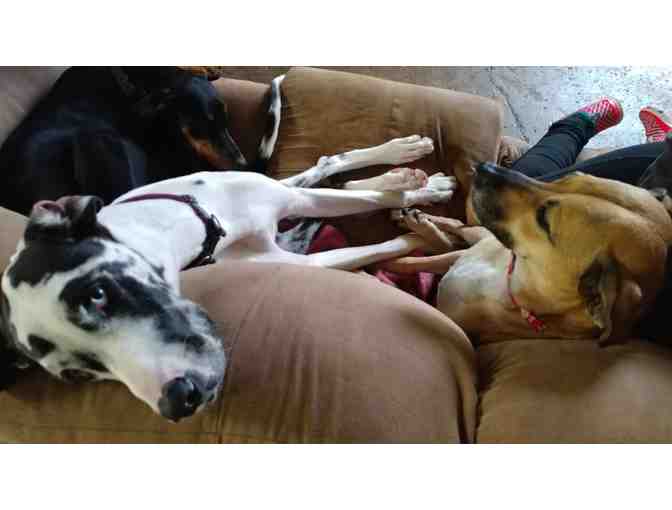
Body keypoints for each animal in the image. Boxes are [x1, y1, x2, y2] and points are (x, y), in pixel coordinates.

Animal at [0, 134, 456, 421]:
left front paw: (423, 199)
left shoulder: (294, 200)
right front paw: (422, 235)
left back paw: (403, 163)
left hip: (287, 191)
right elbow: (372, 245)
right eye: (78, 374)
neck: (203, 225)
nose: (177, 401)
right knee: (331, 178)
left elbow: (368, 197)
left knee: (329, 168)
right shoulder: (298, 260)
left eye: (97, 294)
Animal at [384, 161, 672, 343]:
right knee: (455, 229)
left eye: (544, 219)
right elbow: (412, 262)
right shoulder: (460, 258)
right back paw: (418, 220)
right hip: (477, 237)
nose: (483, 167)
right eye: (571, 177)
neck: (512, 278)